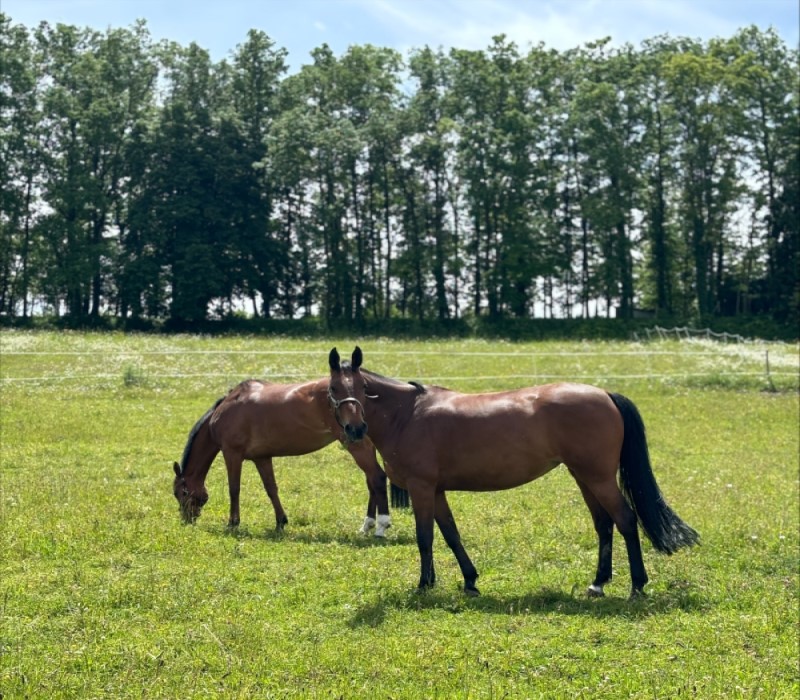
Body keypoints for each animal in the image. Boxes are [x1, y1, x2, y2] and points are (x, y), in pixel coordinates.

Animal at [172, 374, 393, 536]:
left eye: (179, 492)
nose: (186, 519)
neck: (229, 406)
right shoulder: (261, 458)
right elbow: (271, 489)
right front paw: (281, 522)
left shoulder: (232, 454)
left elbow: (234, 489)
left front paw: (233, 523)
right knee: (371, 482)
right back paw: (367, 526)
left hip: (357, 445)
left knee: (377, 477)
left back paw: (380, 527)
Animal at [327, 346, 699, 599]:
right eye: (333, 390)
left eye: (362, 389)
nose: (356, 429)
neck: (407, 414)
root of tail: (605, 394)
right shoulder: (436, 490)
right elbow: (450, 534)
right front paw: (469, 581)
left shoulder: (422, 488)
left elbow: (425, 537)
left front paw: (423, 585)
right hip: (584, 477)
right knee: (603, 524)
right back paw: (598, 583)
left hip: (599, 478)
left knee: (625, 520)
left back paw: (637, 585)